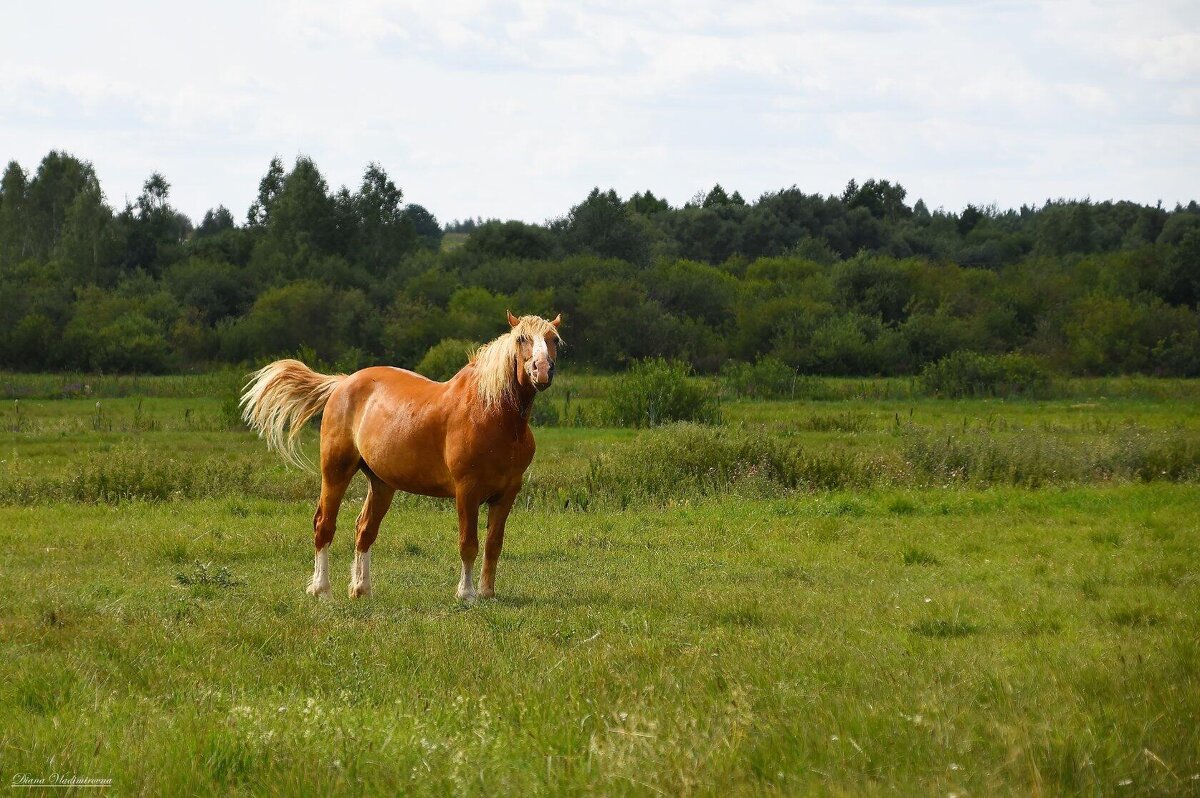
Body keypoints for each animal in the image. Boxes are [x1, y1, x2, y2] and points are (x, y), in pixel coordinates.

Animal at [243, 309, 566, 597]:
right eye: (521, 338)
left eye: (554, 339)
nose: (542, 370)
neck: (492, 414)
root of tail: (343, 383)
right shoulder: (467, 491)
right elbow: (468, 543)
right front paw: (466, 593)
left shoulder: (507, 493)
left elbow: (493, 544)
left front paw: (487, 593)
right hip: (336, 471)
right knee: (324, 525)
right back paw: (321, 590)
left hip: (381, 483)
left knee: (364, 530)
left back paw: (361, 589)